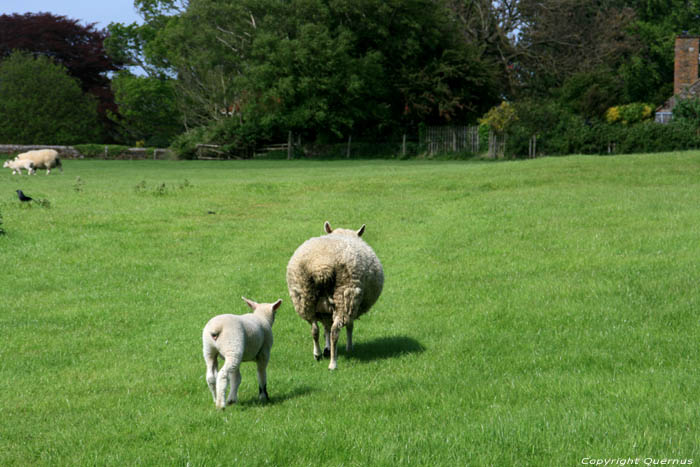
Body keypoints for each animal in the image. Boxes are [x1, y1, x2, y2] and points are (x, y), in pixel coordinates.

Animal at [288, 221, 386, 372]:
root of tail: (321, 266)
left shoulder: (325, 311)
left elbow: (326, 329)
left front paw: (327, 349)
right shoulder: (352, 304)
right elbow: (349, 326)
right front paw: (349, 348)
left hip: (305, 297)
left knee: (314, 328)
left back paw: (317, 354)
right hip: (345, 294)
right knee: (335, 331)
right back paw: (333, 364)